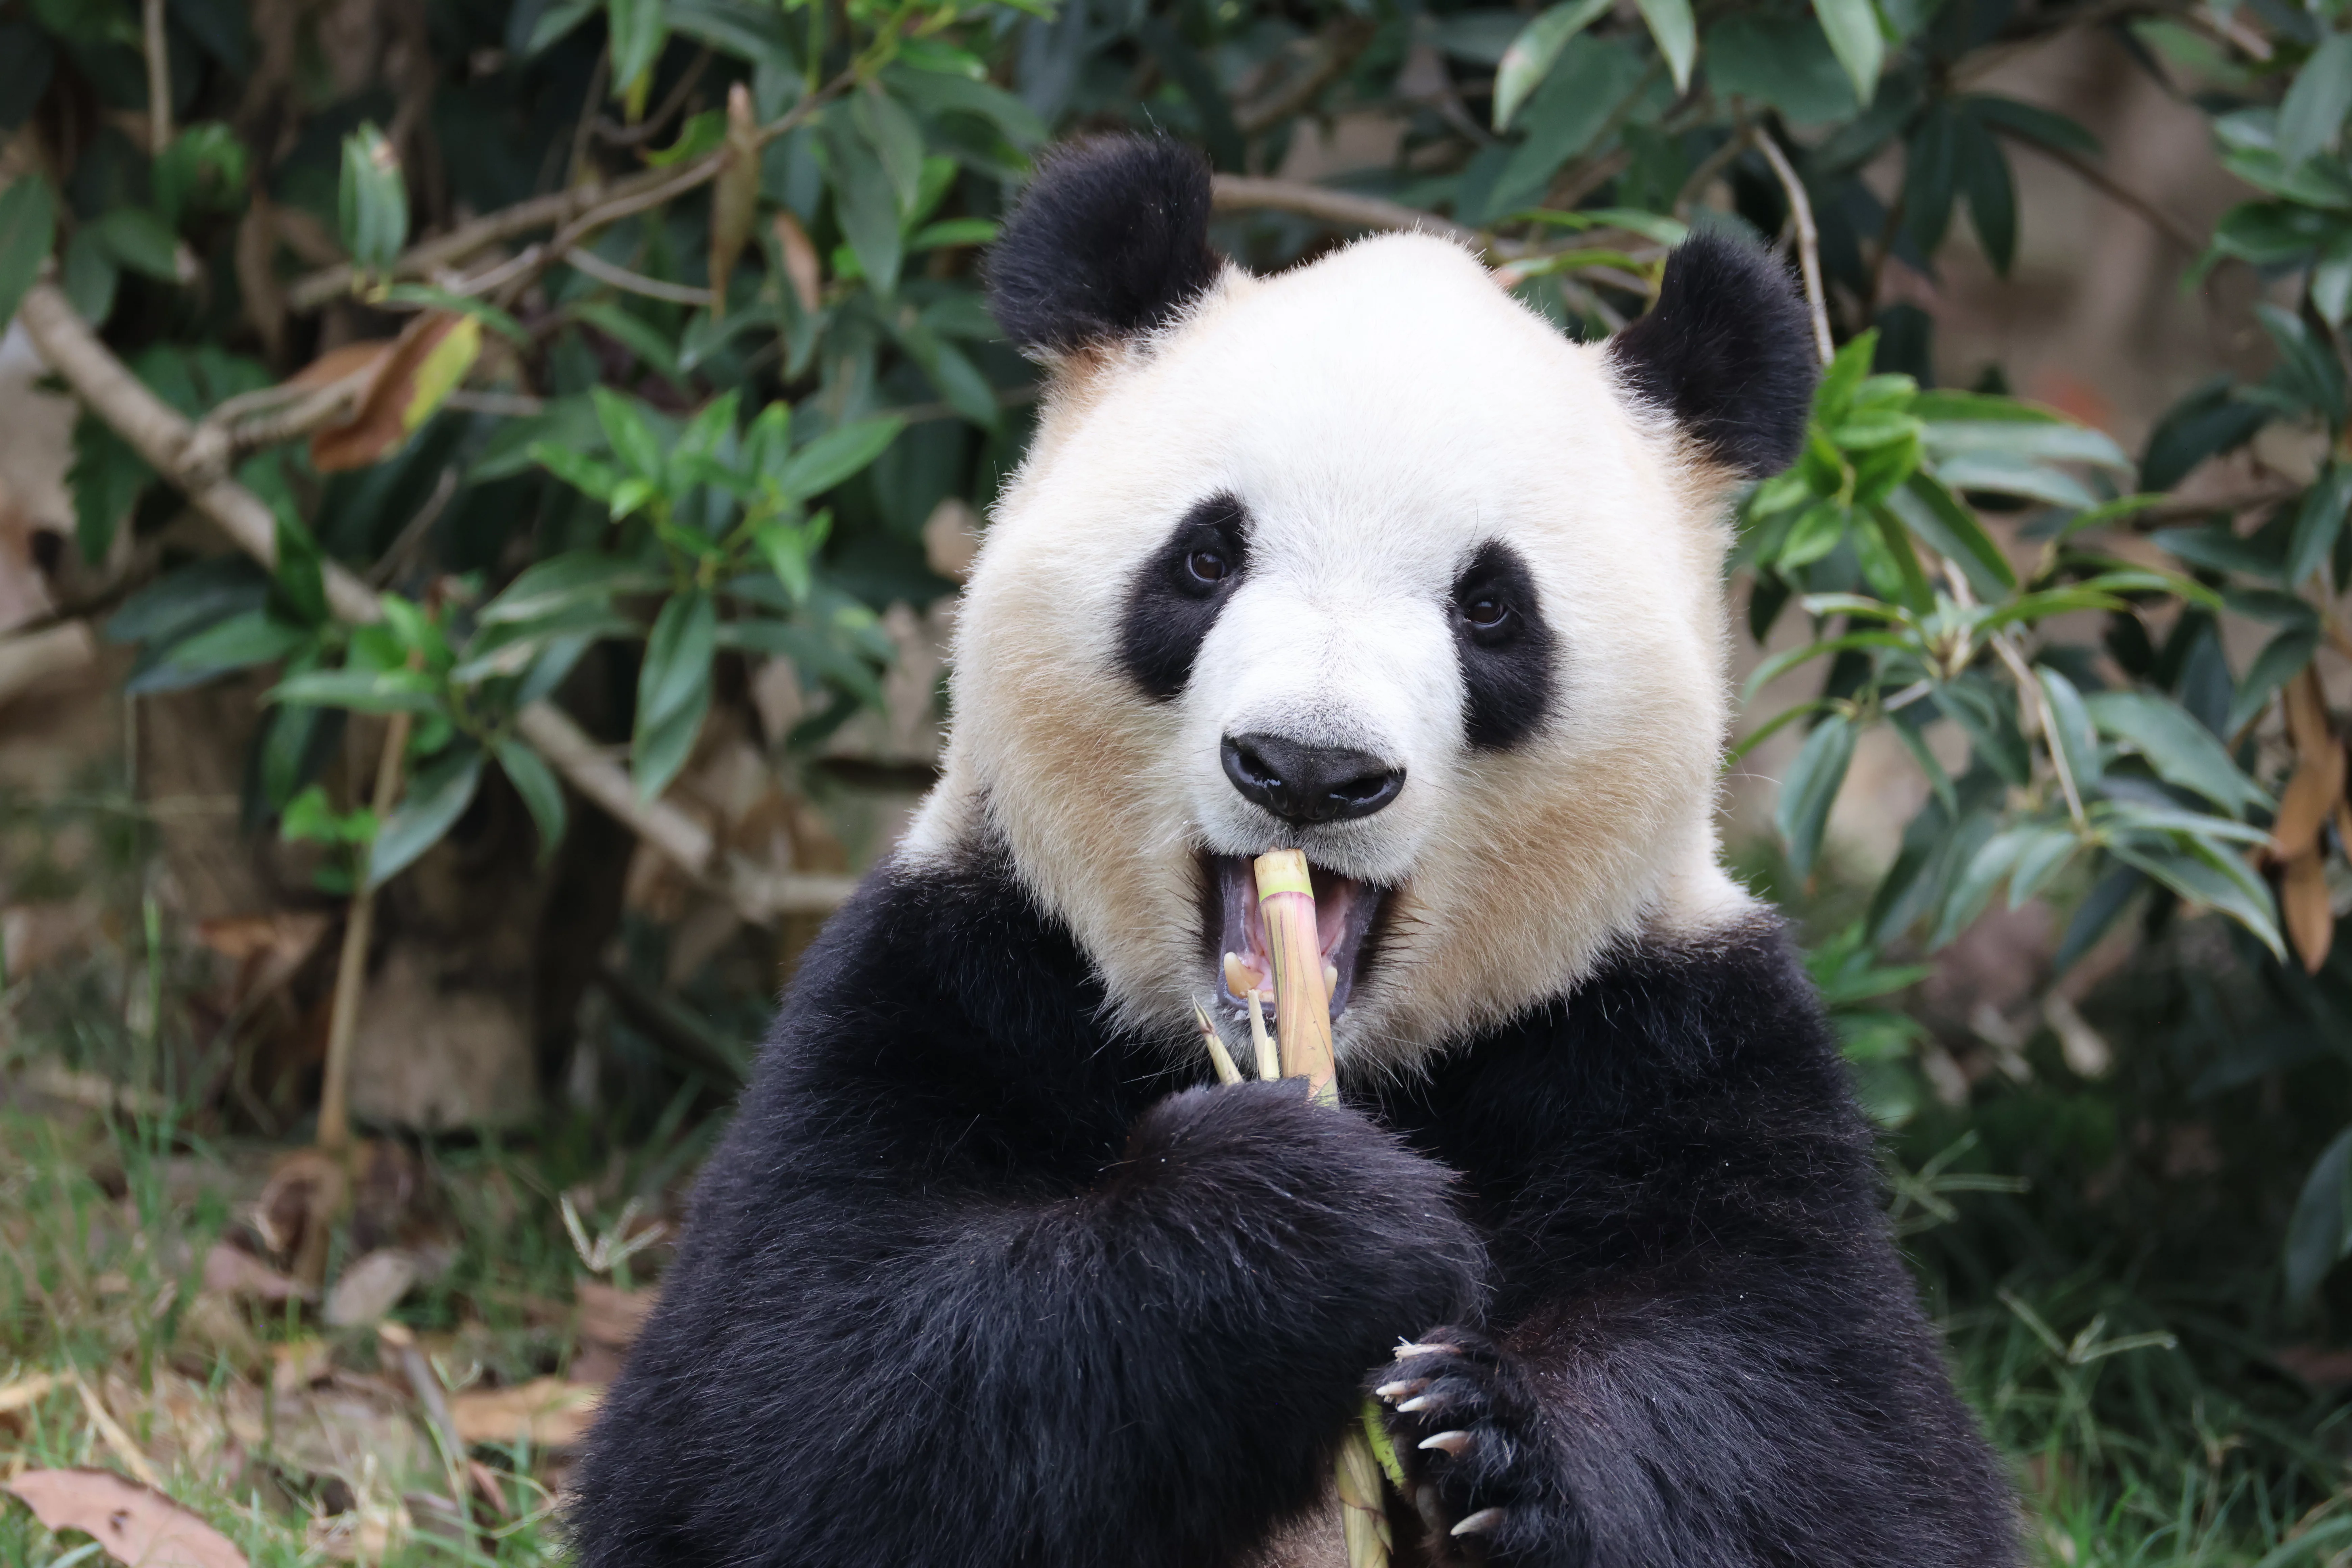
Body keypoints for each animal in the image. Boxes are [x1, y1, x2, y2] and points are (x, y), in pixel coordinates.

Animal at [566, 135, 2019, 1568]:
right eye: (1205, 557)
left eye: (1490, 607)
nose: (1308, 768)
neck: (1359, 1068)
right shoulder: (956, 963)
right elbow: (776, 1399)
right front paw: (1312, 1212)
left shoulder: (1672, 1032)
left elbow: (1841, 1444)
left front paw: (1483, 1431)